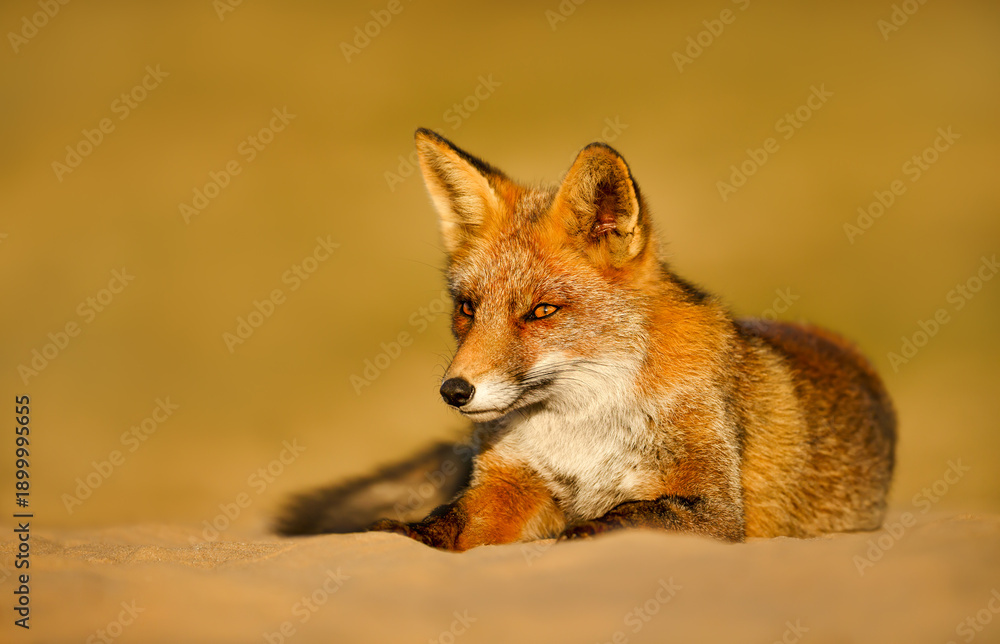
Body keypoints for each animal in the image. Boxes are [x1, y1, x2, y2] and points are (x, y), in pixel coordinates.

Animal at [276, 128, 897, 551]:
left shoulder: (714, 507)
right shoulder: (509, 483)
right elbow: (449, 521)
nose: (455, 391)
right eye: (467, 309)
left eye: (541, 311)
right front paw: (408, 532)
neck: (581, 426)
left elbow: (613, 519)